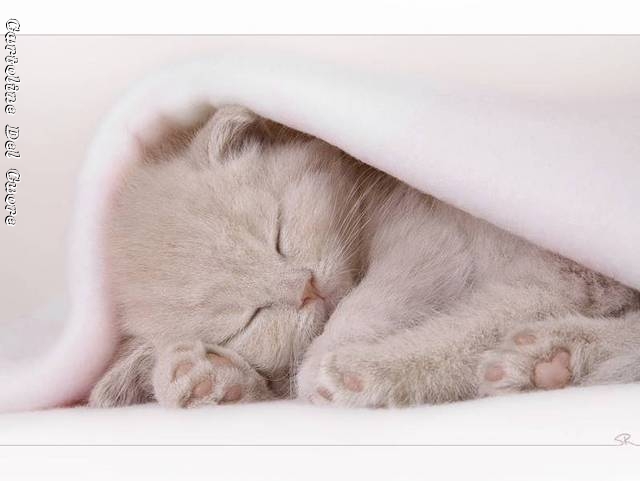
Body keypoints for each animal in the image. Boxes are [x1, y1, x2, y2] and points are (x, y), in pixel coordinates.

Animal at [89, 105, 640, 409]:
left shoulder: (434, 237)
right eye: (247, 320)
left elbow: (377, 304)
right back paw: (549, 361)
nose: (306, 288)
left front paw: (330, 359)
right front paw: (205, 375)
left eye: (278, 232)